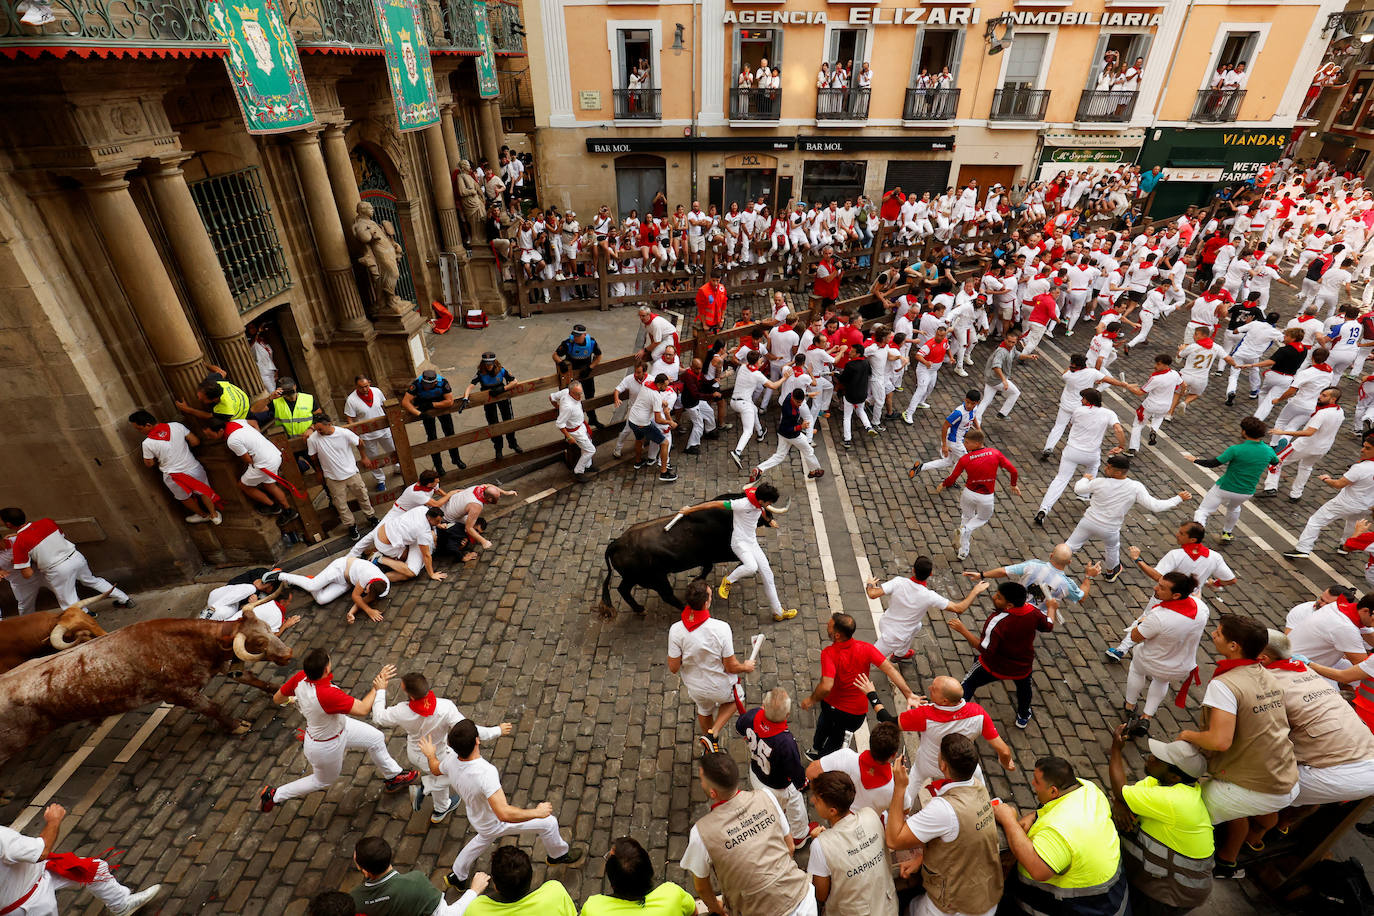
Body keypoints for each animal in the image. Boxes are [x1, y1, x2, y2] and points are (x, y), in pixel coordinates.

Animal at [0, 604, 289, 763]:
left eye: (267, 627)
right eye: (258, 643)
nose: (288, 653)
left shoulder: (220, 665)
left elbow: (253, 679)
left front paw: (277, 691)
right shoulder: (180, 694)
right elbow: (213, 707)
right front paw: (236, 726)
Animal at [596, 497, 774, 620]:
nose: (771, 520)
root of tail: (617, 543)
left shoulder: (707, 556)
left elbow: (707, 567)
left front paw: (697, 579)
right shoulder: (725, 551)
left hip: (634, 578)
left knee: (623, 589)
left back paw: (640, 609)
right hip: (656, 578)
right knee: (666, 595)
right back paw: (686, 610)